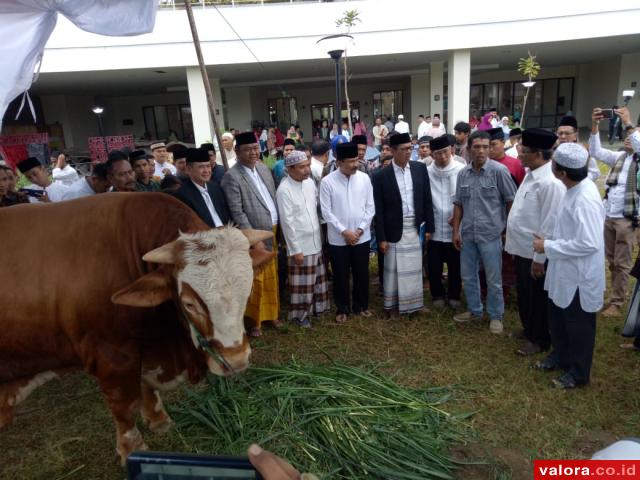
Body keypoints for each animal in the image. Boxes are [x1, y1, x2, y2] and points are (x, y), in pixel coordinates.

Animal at [0, 193, 272, 464]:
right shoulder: (112, 356)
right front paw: (132, 448)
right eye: (189, 303)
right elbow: (125, 406)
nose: (236, 361)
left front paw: (158, 419)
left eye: (247, 291)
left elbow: (146, 386)